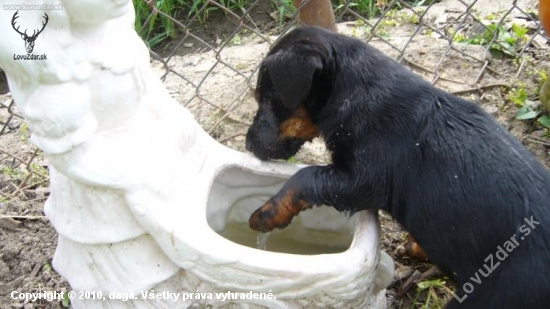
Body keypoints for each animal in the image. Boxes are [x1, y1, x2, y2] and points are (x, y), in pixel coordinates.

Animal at [248, 27, 550, 308]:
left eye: (266, 99)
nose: (249, 143)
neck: (354, 92)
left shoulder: (364, 181)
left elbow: (305, 176)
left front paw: (265, 214)